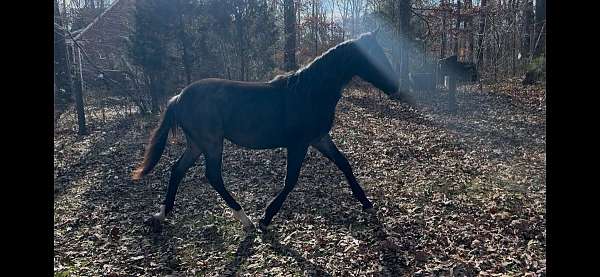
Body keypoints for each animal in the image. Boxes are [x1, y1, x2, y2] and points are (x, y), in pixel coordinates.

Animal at [132, 29, 412, 230]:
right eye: (372, 58)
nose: (395, 88)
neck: (310, 92)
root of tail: (179, 97)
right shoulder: (298, 143)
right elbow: (291, 180)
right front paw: (266, 218)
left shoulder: (319, 138)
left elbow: (344, 164)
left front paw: (367, 204)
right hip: (211, 143)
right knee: (212, 176)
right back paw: (246, 220)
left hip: (197, 143)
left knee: (177, 170)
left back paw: (161, 214)